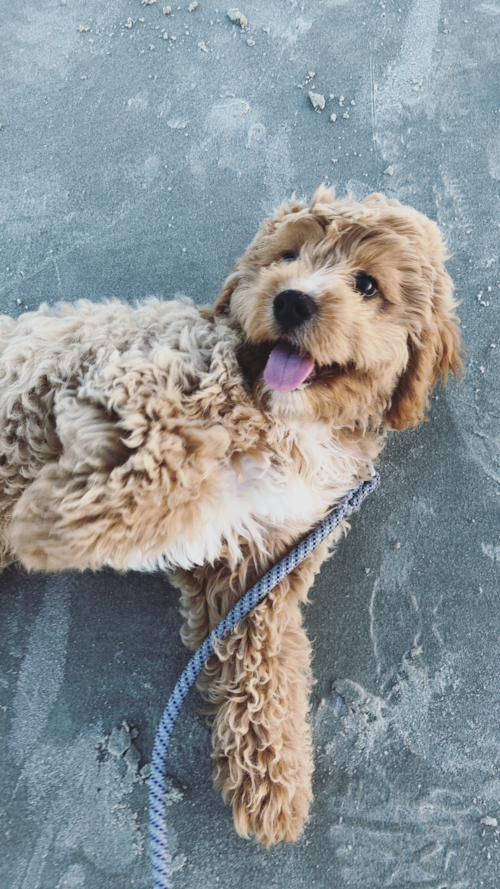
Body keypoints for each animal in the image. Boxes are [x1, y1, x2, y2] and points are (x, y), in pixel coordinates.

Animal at [0, 187, 460, 848]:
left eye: (368, 285)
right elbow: (160, 456)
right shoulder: (134, 374)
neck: (288, 417)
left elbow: (262, 659)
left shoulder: (264, 560)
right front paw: (50, 525)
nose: (291, 299)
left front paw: (271, 775)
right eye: (288, 256)